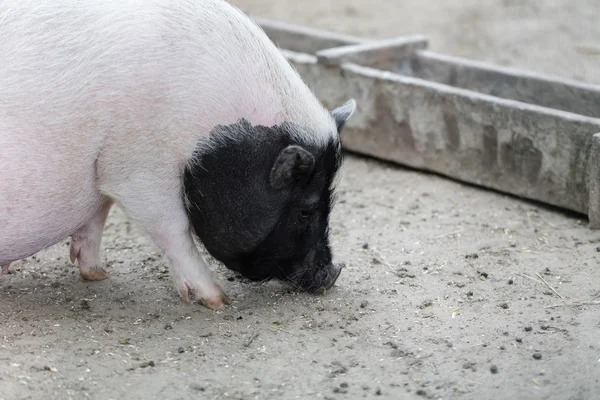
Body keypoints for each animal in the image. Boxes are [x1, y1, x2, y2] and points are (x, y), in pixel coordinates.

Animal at [0, 0, 356, 310]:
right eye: (305, 211)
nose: (332, 274)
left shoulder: (104, 168)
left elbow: (97, 215)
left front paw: (99, 274)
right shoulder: (135, 167)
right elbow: (174, 227)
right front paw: (218, 301)